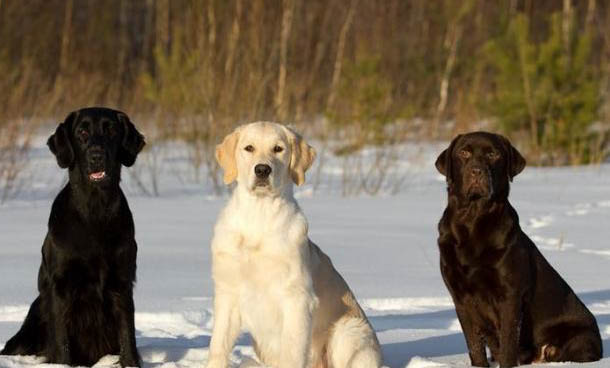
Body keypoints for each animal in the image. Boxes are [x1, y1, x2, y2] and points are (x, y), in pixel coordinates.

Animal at [0, 108, 144, 366]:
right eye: (82, 133)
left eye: (111, 130)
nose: (96, 156)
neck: (94, 211)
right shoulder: (61, 285)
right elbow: (61, 340)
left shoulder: (122, 281)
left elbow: (127, 335)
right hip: (35, 315)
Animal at [207, 123, 382, 368]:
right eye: (248, 148)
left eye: (278, 149)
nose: (262, 170)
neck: (259, 216)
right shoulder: (228, 294)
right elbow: (218, 347)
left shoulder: (297, 299)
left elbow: (292, 350)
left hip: (348, 331)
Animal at [434, 132, 600, 366]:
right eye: (464, 153)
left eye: (493, 154)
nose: (476, 170)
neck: (473, 221)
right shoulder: (460, 297)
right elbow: (474, 346)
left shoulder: (510, 295)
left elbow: (508, 342)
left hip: (580, 339)